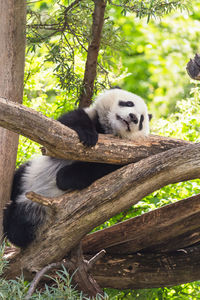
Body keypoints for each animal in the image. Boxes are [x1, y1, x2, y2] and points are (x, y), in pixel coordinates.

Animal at [3, 88, 151, 248]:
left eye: (142, 120)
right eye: (129, 103)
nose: (133, 117)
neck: (106, 130)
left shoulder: (122, 159)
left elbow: (95, 170)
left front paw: (63, 177)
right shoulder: (84, 120)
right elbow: (67, 124)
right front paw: (88, 136)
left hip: (39, 211)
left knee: (21, 231)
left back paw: (9, 214)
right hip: (28, 172)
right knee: (18, 177)